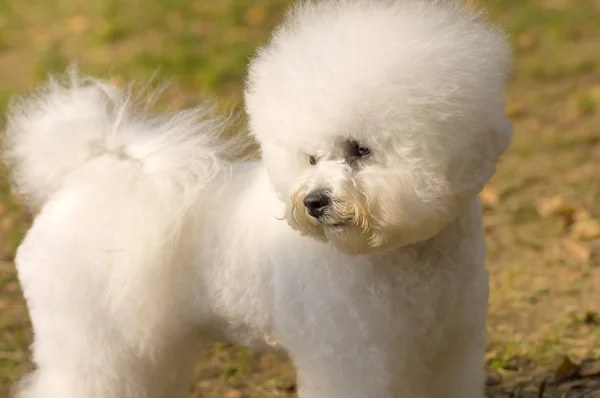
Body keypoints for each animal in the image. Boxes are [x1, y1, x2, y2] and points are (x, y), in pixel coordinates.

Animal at [3, 0, 510, 398]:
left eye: (360, 150)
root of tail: (79, 185)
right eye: (312, 158)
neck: (404, 257)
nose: (314, 201)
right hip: (91, 341)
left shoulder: (450, 347)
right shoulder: (352, 358)